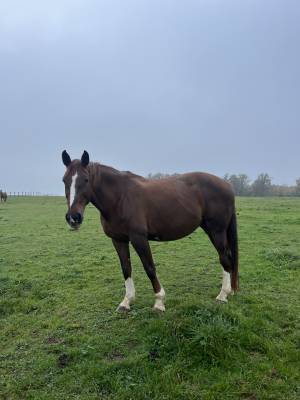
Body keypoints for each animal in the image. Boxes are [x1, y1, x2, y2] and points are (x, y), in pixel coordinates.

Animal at [61, 152, 239, 310]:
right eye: (64, 180)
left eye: (86, 179)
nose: (73, 218)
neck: (120, 198)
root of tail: (227, 185)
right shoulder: (118, 239)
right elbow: (126, 268)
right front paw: (126, 301)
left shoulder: (139, 238)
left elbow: (150, 268)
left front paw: (159, 302)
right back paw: (230, 291)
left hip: (216, 231)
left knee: (225, 258)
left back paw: (223, 295)